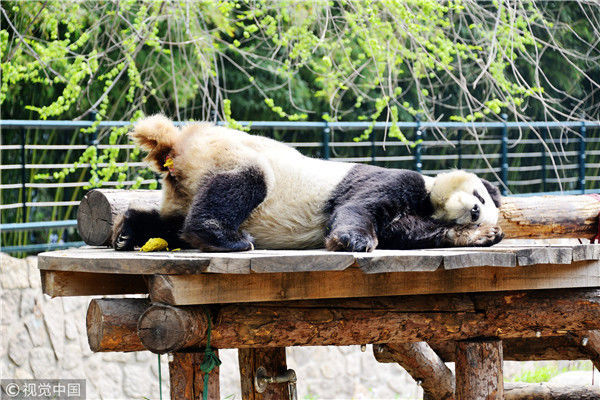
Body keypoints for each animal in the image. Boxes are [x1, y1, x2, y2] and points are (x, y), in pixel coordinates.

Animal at [111, 115, 502, 252]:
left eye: (482, 214)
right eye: (480, 195)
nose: (474, 211)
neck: (427, 201)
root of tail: (177, 144)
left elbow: (404, 232)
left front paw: (483, 237)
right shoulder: (396, 180)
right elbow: (359, 206)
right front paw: (353, 241)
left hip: (185, 187)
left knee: (172, 222)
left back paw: (129, 232)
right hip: (223, 151)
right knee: (246, 181)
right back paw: (225, 238)